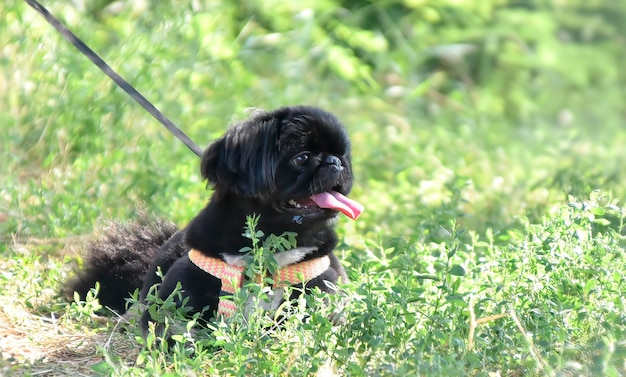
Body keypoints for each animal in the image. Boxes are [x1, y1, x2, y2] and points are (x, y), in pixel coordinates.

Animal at [67, 105, 360, 338]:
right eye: (302, 158)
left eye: (343, 156)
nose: (336, 163)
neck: (266, 249)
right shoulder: (176, 297)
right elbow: (176, 331)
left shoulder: (322, 283)